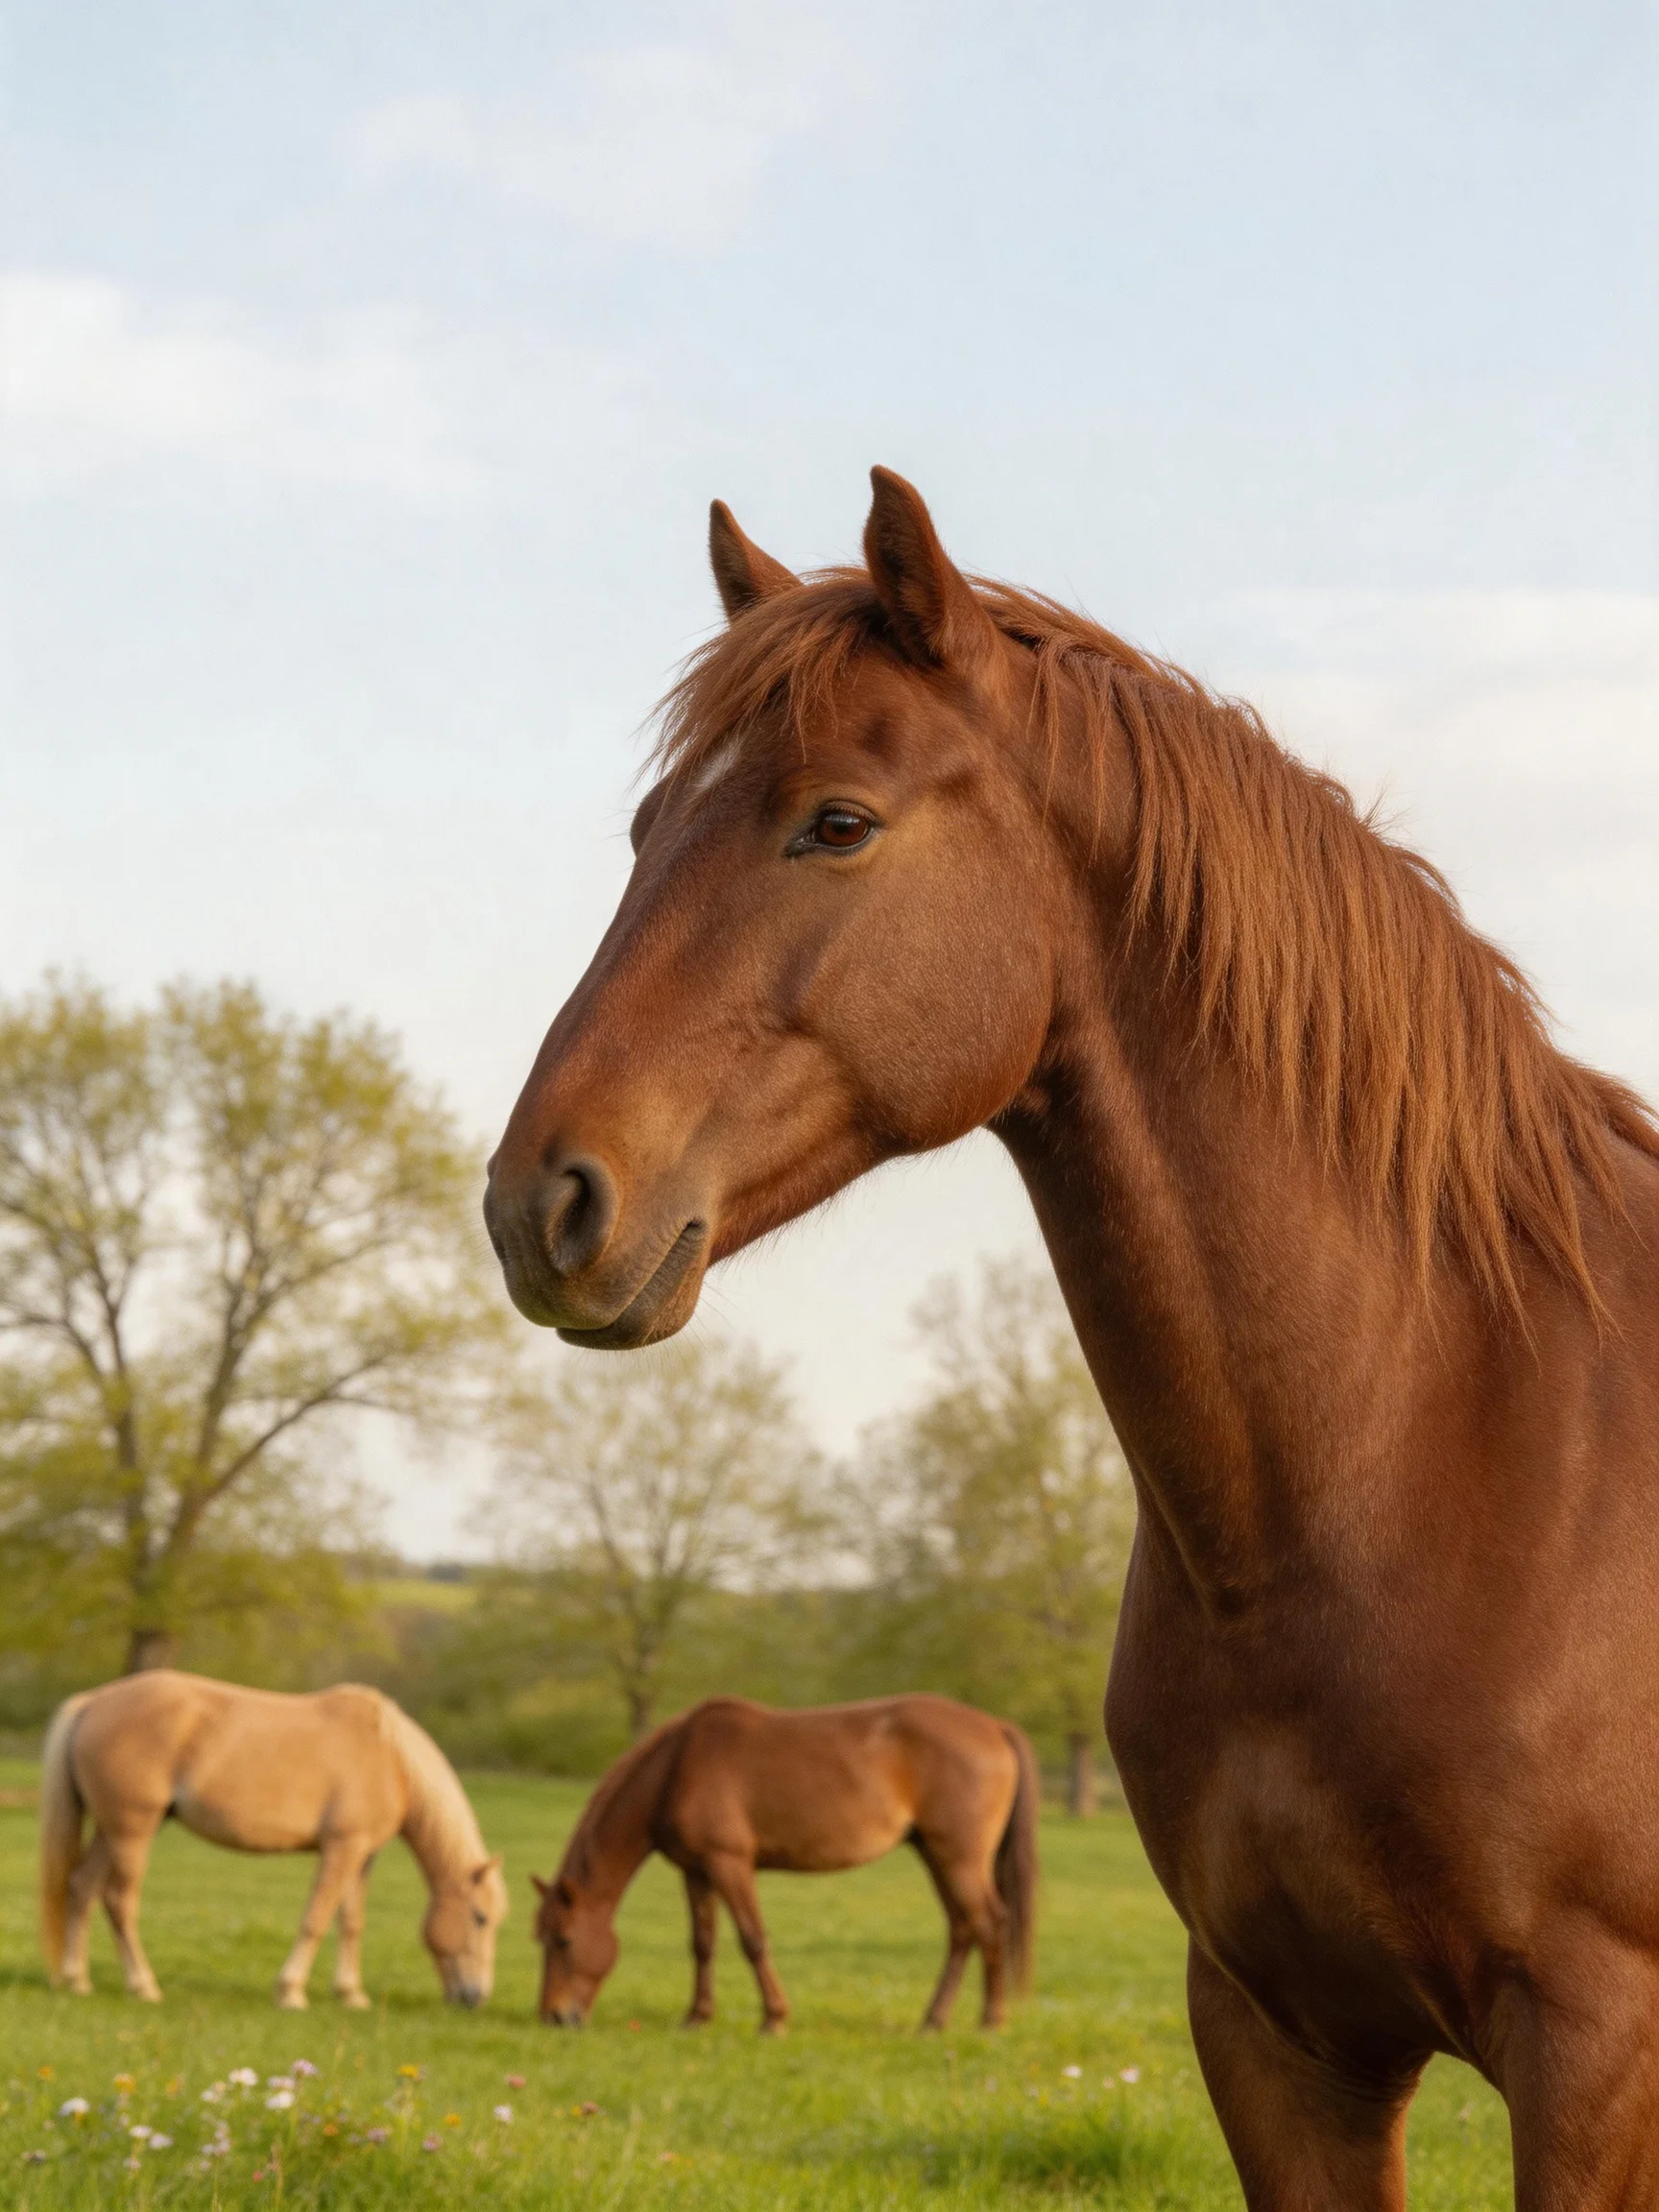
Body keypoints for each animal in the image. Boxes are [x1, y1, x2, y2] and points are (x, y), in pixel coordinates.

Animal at [40, 1669, 508, 2009]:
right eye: (480, 1918)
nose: (475, 1997)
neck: (392, 1761)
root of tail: (92, 1703)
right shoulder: (343, 1847)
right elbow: (316, 1918)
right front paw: (291, 1991)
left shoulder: (363, 1855)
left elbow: (350, 1922)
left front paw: (351, 1994)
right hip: (132, 1830)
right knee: (119, 1900)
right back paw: (143, 1986)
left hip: (112, 1831)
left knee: (81, 1887)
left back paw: (76, 1980)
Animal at [530, 1694, 1038, 2033]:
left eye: (564, 1940)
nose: (555, 2015)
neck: (678, 1768)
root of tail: (995, 1727)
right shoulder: (696, 1873)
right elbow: (703, 1944)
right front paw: (696, 2017)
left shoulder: (730, 1865)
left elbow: (753, 1940)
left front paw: (773, 2019)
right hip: (936, 1855)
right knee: (963, 1929)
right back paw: (934, 2020)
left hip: (959, 1859)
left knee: (989, 1923)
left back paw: (990, 2021)